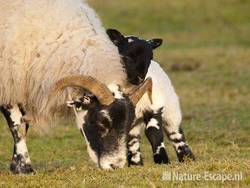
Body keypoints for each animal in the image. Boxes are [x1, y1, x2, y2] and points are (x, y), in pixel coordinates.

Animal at [0, 0, 151, 173]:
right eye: (101, 122)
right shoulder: (8, 84)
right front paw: (23, 167)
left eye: (128, 124)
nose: (116, 165)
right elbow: (17, 126)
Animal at [106, 28, 195, 165]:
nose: (140, 78)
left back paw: (187, 159)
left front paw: (162, 160)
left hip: (171, 109)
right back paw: (136, 163)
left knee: (176, 134)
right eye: (127, 56)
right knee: (133, 139)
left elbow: (153, 132)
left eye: (150, 58)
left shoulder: (154, 108)